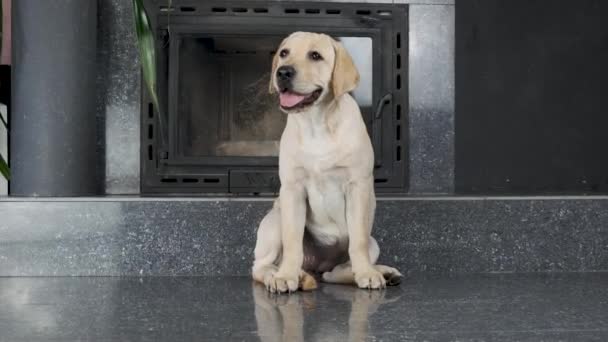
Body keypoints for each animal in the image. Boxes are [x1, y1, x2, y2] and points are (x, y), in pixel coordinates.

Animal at [249, 32, 402, 294]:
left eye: (315, 56)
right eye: (284, 53)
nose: (283, 72)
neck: (316, 123)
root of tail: (318, 266)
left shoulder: (358, 187)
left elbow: (358, 241)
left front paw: (367, 274)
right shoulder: (292, 190)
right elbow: (292, 242)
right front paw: (286, 276)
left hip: (373, 244)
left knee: (338, 270)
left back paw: (379, 272)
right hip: (275, 220)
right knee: (261, 266)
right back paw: (287, 275)